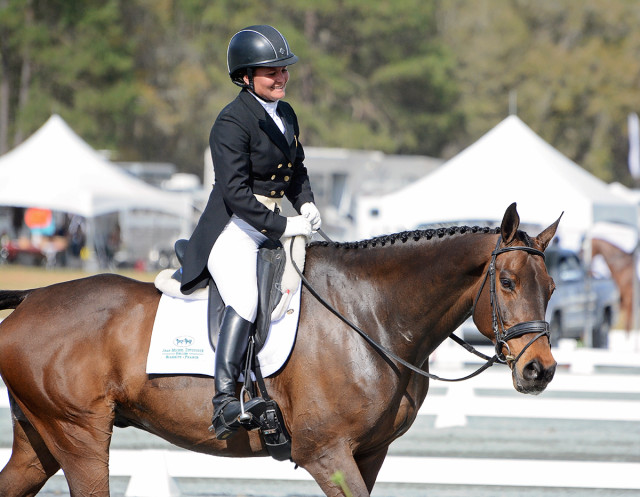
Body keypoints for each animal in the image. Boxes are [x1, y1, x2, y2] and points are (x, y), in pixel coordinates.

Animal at [0, 202, 556, 496]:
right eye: (507, 282)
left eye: (550, 286)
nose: (540, 371)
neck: (371, 313)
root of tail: (31, 298)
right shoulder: (326, 452)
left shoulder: (369, 453)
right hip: (80, 434)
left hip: (42, 437)